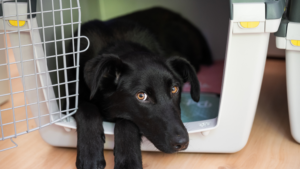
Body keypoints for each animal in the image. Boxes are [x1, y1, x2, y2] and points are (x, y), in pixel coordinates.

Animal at [67, 6, 212, 169]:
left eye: (174, 89)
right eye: (141, 96)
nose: (182, 143)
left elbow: (127, 122)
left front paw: (128, 162)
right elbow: (88, 110)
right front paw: (90, 154)